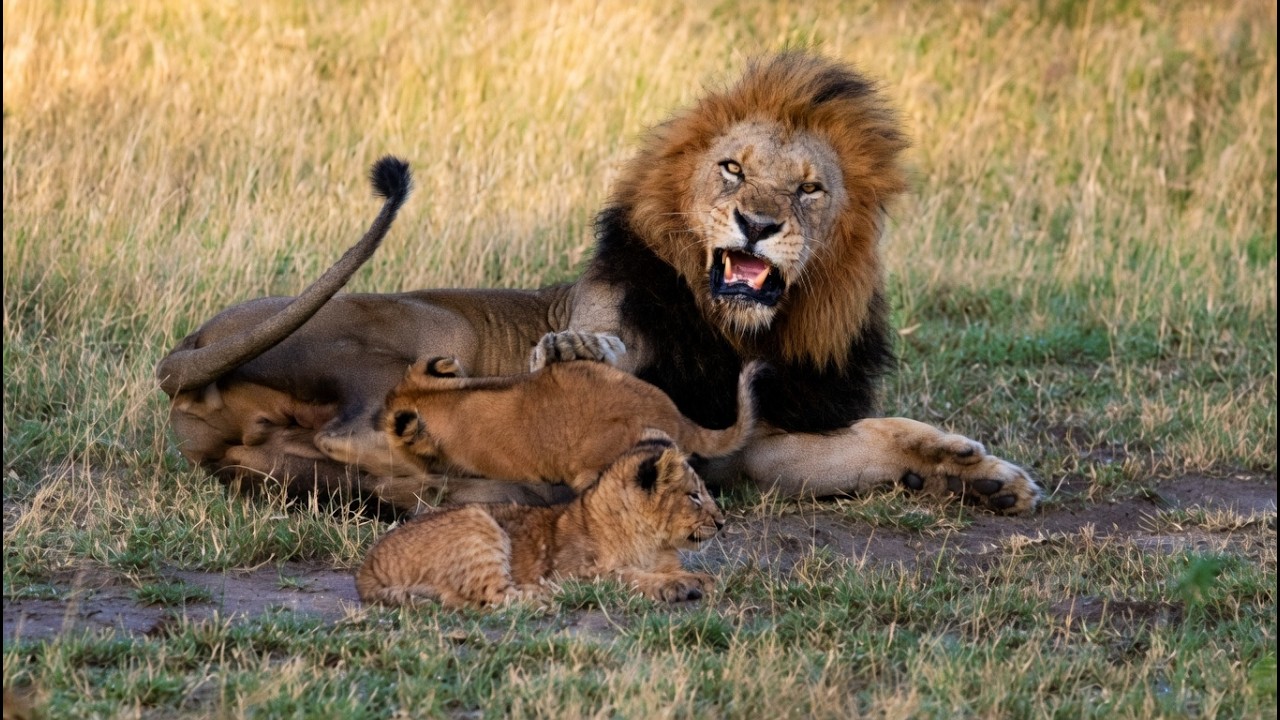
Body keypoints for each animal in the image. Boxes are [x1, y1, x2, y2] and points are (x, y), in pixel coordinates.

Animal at [355, 436, 723, 608]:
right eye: (694, 496)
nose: (722, 523)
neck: (652, 542)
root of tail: (367, 566)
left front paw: (694, 579)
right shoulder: (580, 570)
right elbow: (625, 576)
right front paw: (682, 584)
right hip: (477, 520)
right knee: (494, 597)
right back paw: (550, 592)